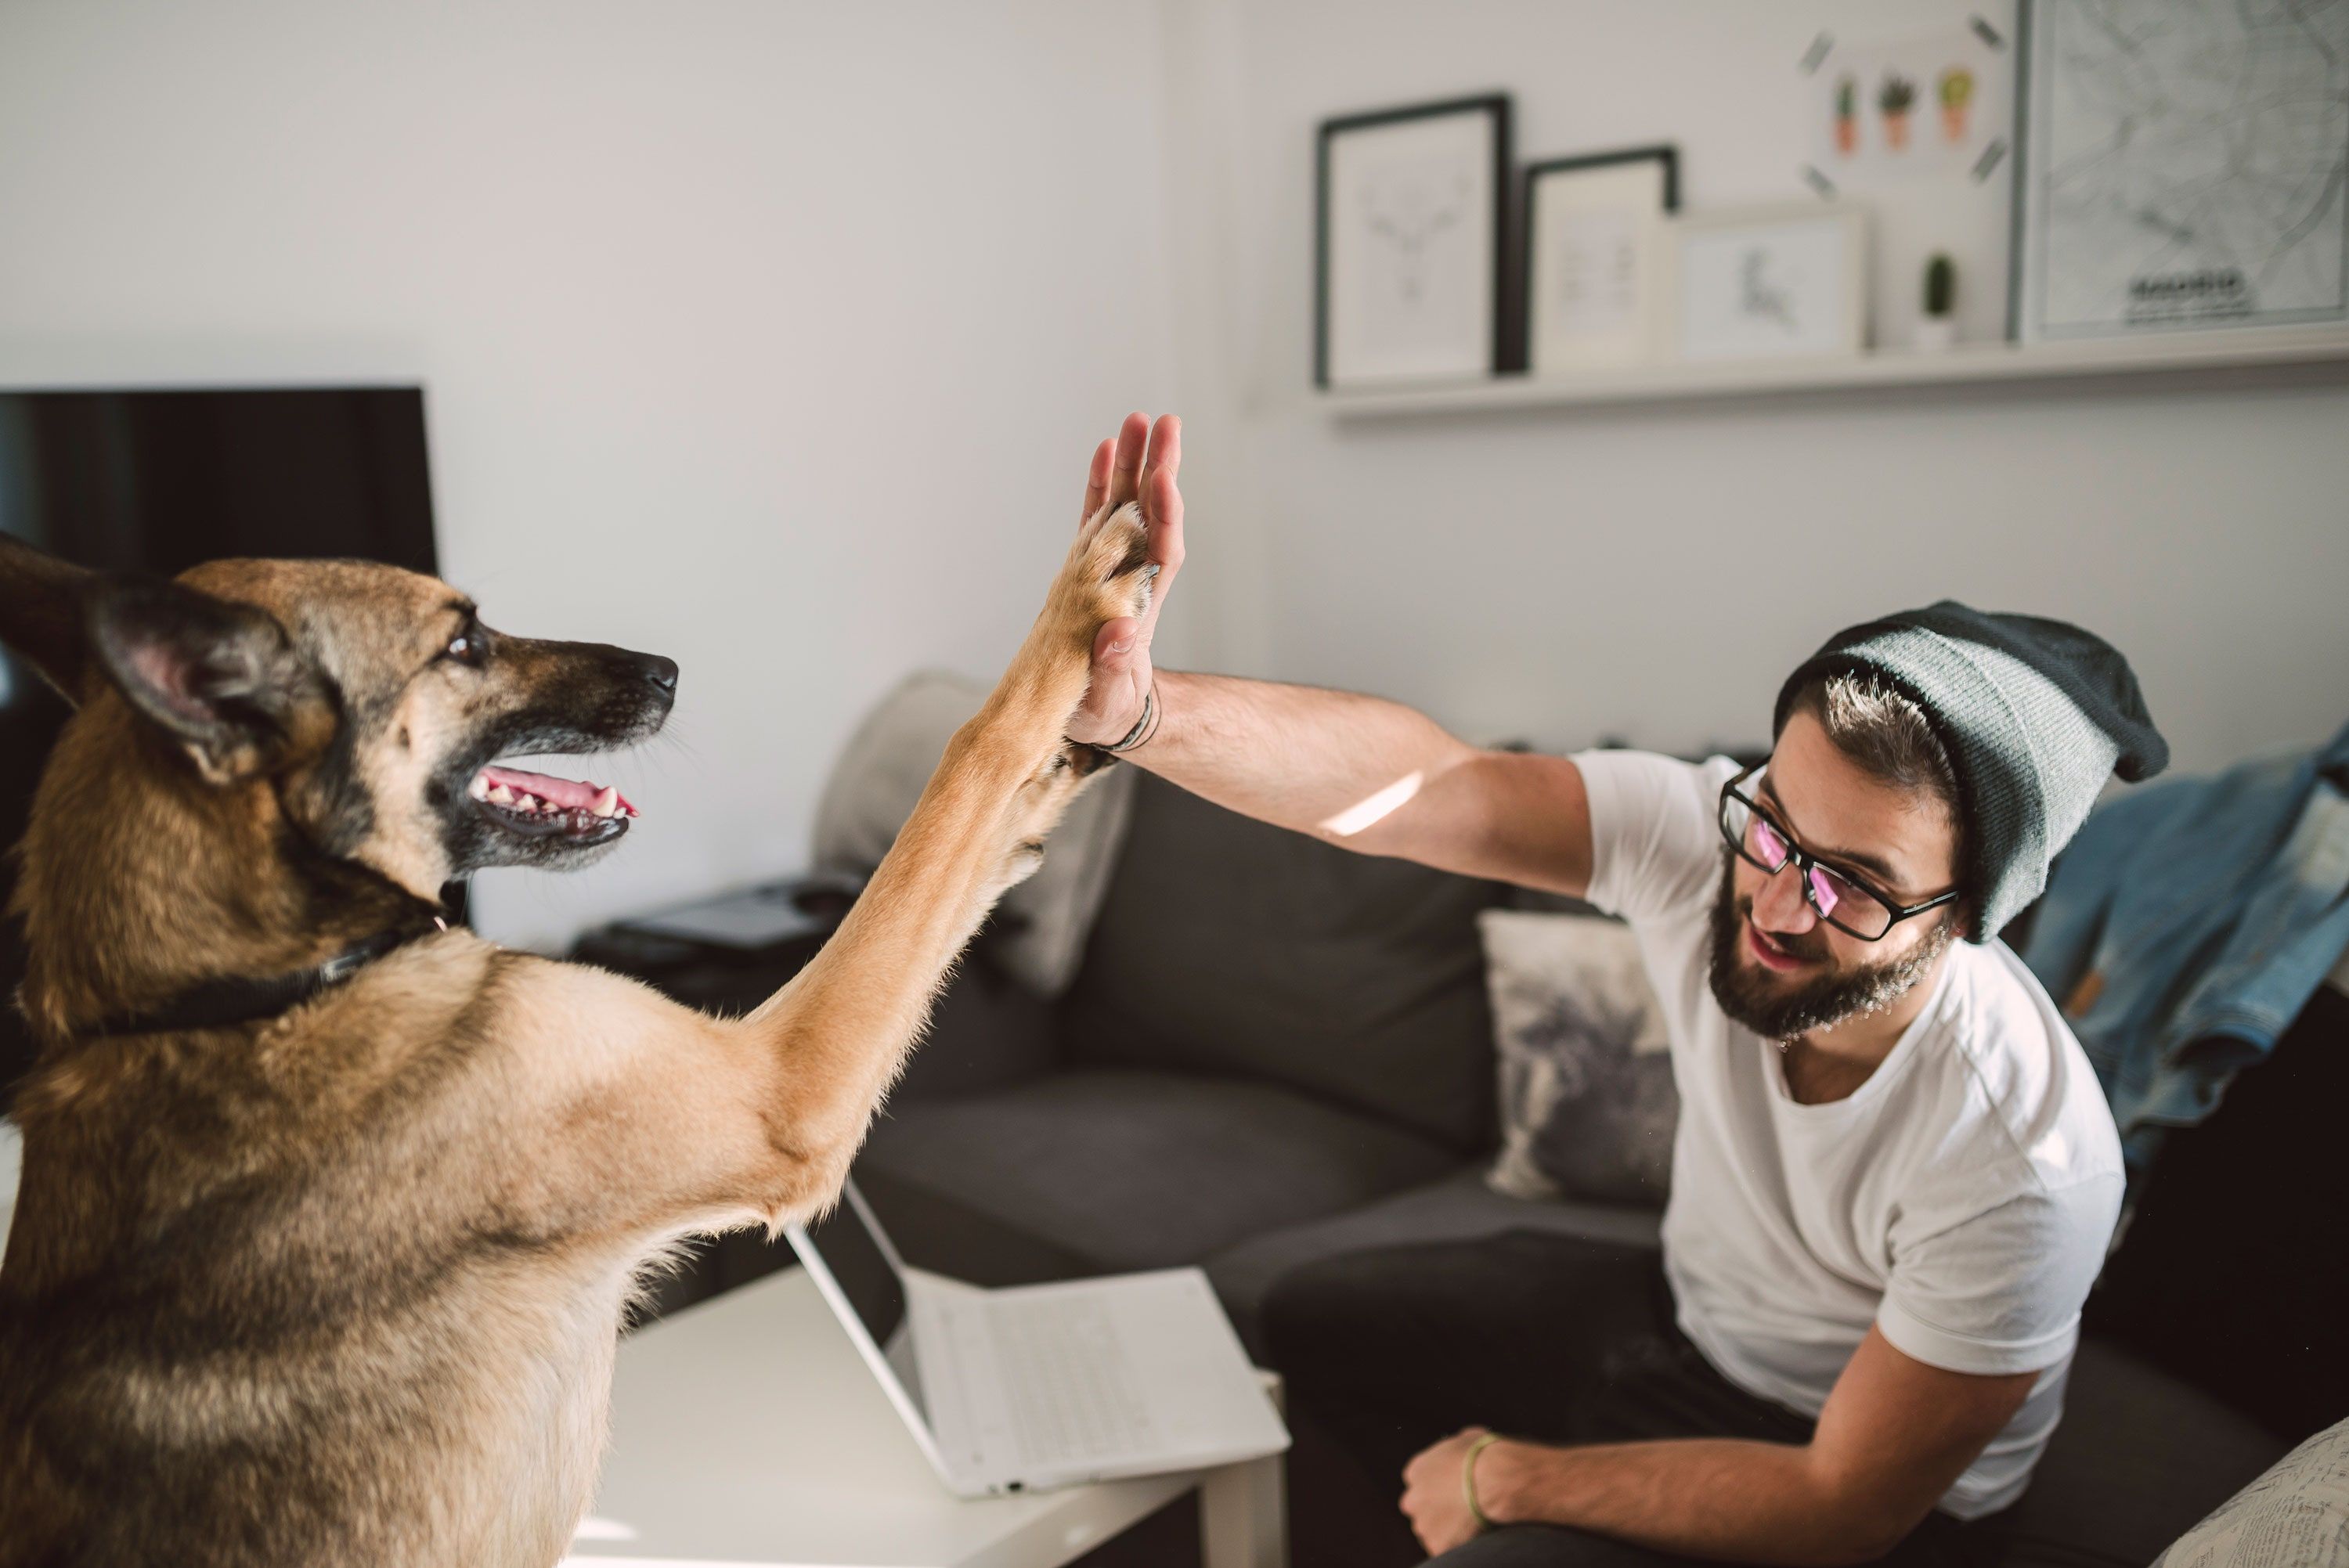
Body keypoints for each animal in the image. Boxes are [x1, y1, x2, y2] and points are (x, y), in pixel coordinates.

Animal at [0, 504, 1156, 1568]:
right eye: (463, 642)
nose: (669, 669)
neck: (246, 991)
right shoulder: (779, 1084)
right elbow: (960, 770)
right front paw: (1077, 608)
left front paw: (1062, 773)